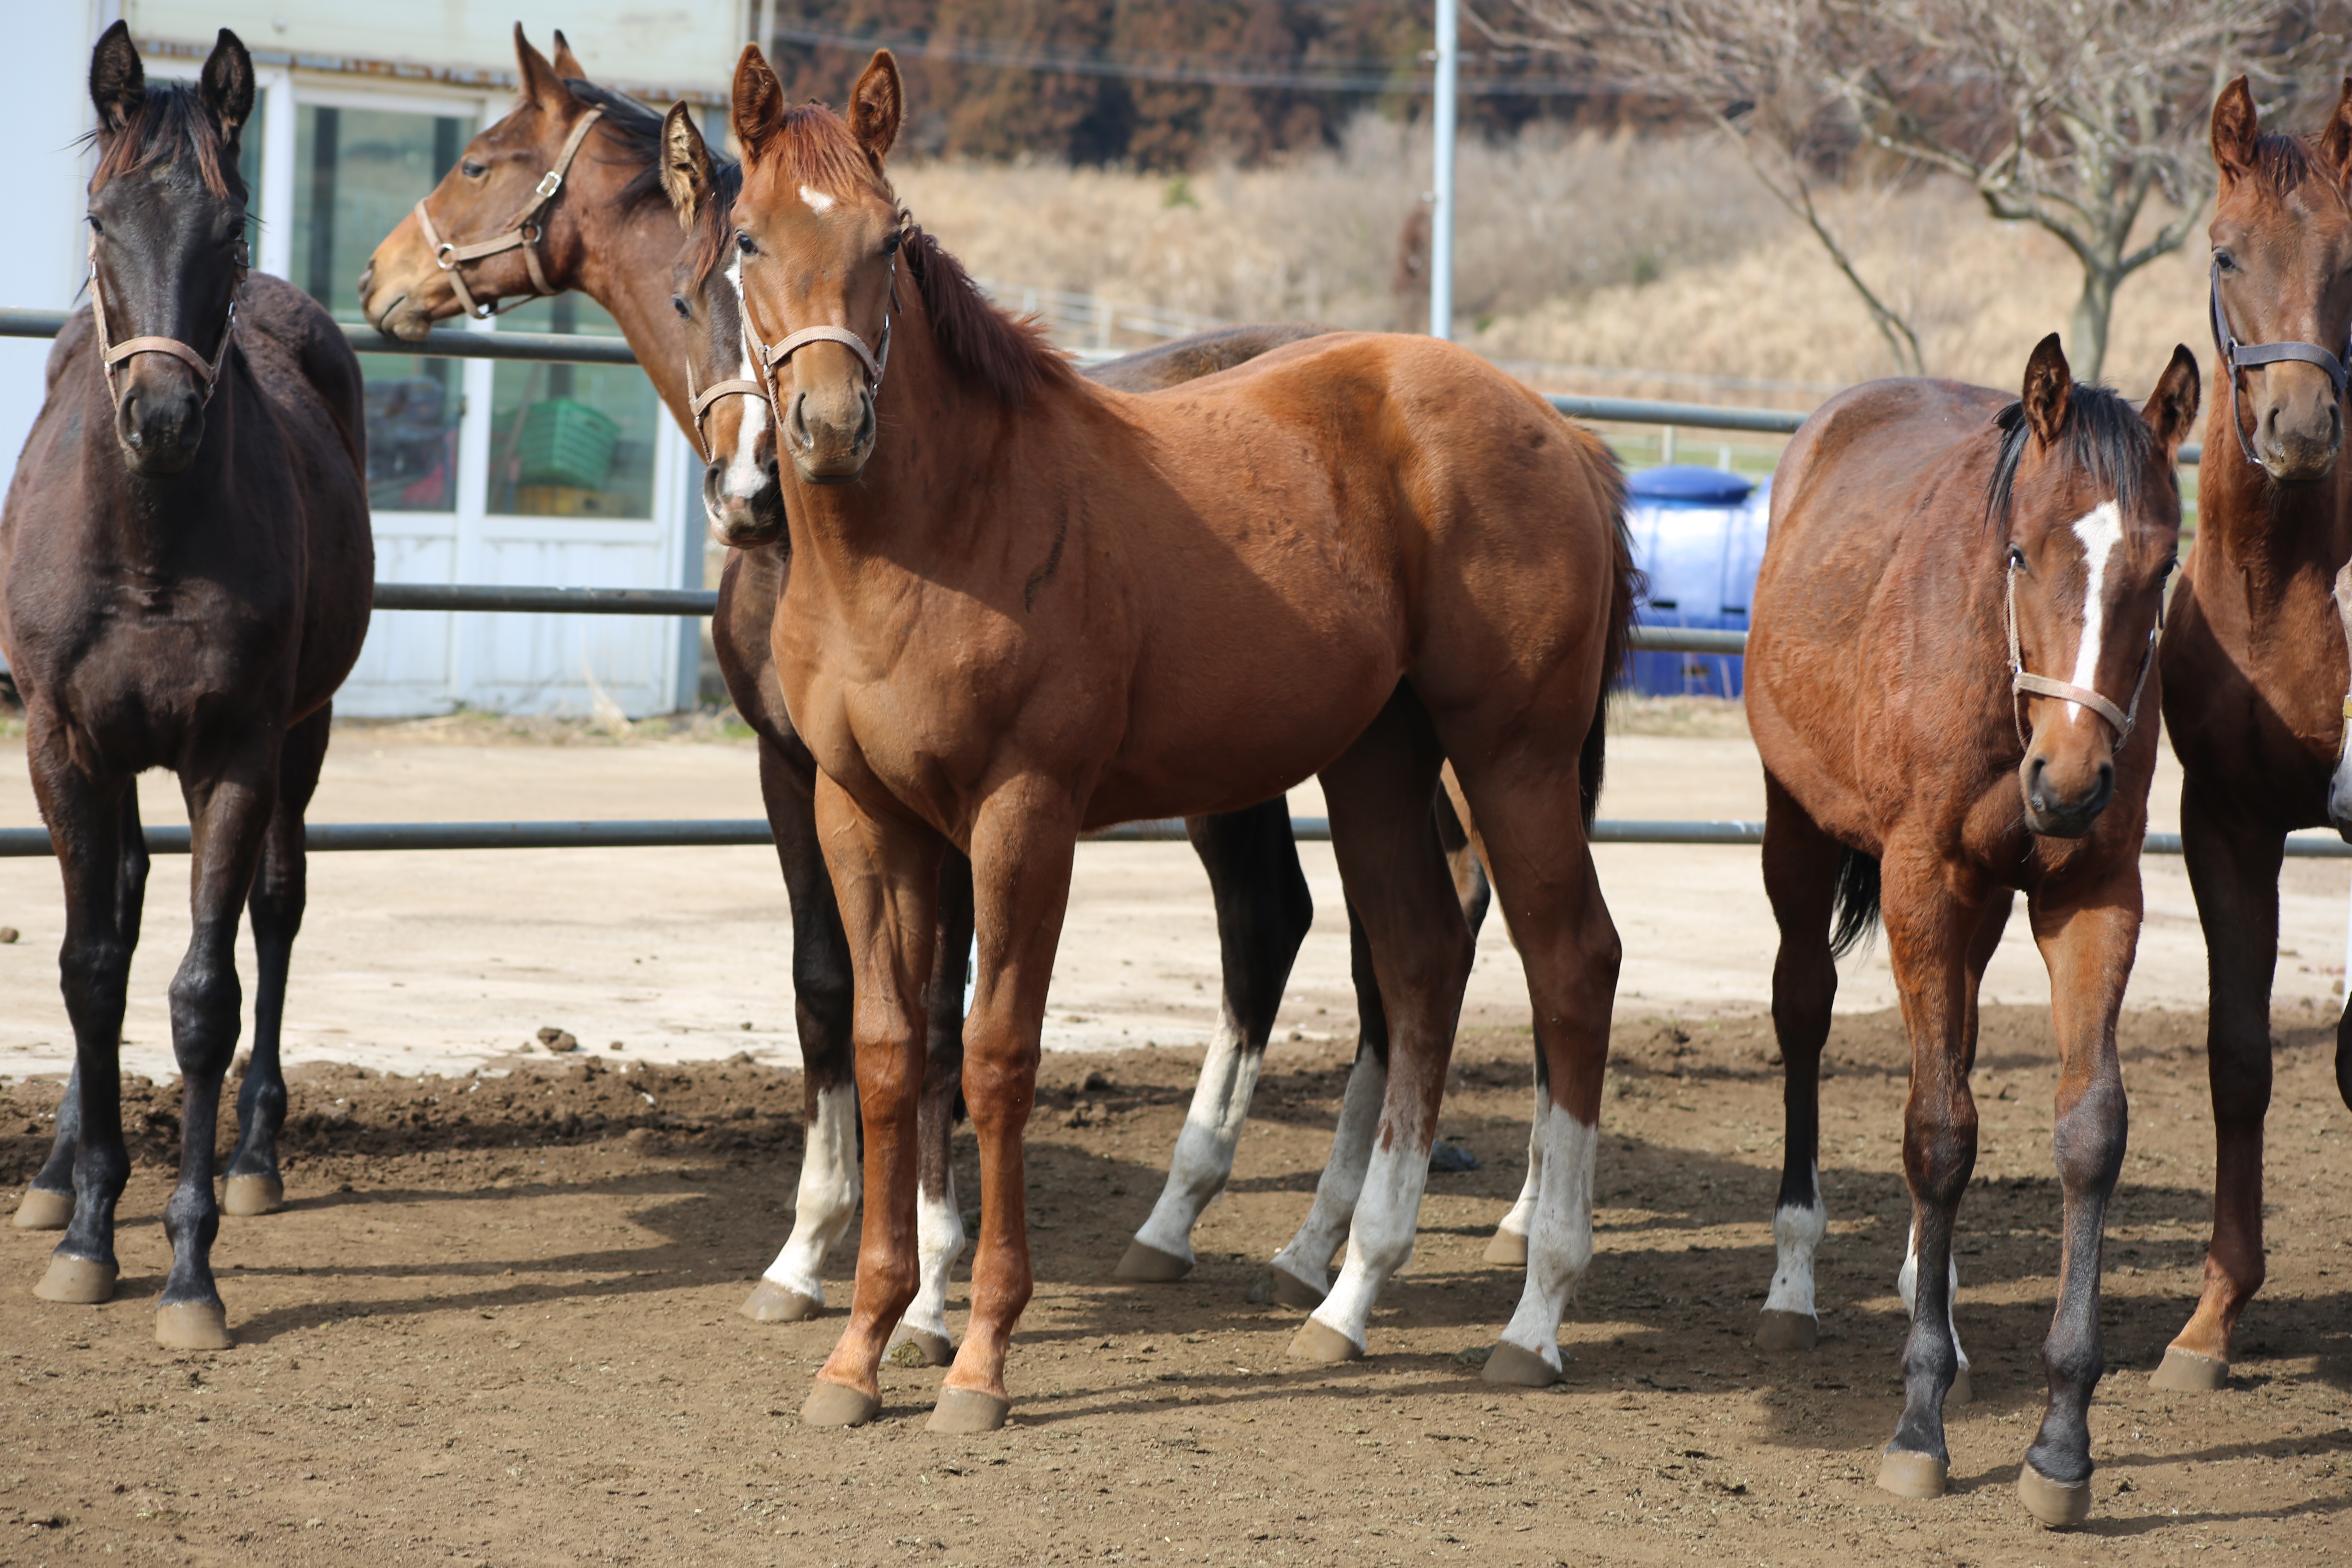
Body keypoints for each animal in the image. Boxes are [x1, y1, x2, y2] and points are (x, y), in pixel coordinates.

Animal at [1, 24, 372, 1354]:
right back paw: (56, 1171)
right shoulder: (63, 747)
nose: (159, 416)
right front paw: (84, 1232)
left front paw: (187, 1269)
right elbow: (89, 968)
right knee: (110, 914)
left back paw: (256, 1154)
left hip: (305, 738)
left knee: (276, 906)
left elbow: (205, 991)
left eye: (234, 221)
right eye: (100, 218)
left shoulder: (236, 754)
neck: (152, 541)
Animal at [353, 27, 1524, 1363]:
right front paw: (843, 1254)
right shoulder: (811, 768)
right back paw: (1285, 1232)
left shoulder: (906, 787)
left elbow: (914, 1008)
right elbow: (848, 991)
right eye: (701, 289)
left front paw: (904, 1271)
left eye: (476, 161)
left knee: (1315, 930)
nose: (379, 277)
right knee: (1357, 935)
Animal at [1750, 339, 2201, 1523]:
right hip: (1797, 832)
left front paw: (2061, 1445)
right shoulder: (1922, 879)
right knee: (1804, 1015)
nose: (2072, 780)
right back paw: (1793, 1279)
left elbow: (2089, 1132)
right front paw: (1918, 1422)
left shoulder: (2092, 895)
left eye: (2162, 566)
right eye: (2019, 551)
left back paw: (1933, 1289)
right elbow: (1937, 1133)